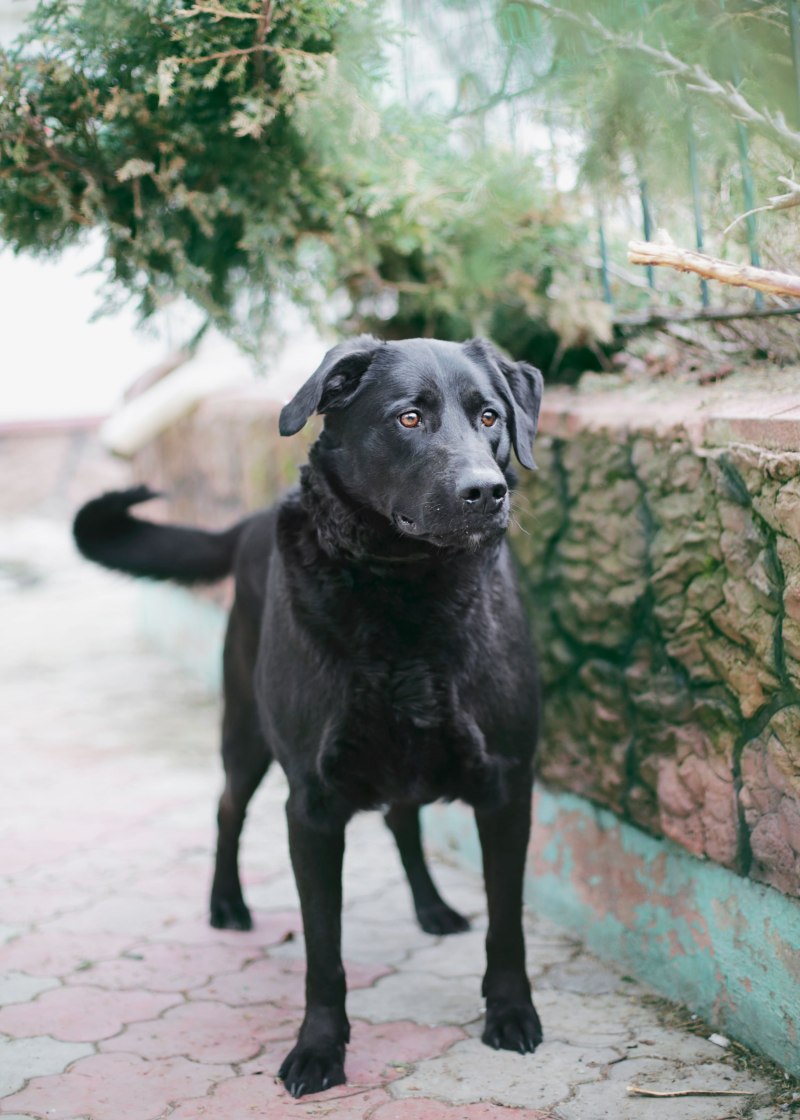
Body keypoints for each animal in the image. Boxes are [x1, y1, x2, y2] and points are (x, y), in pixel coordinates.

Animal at [73, 336, 542, 1097]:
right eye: (409, 418)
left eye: (490, 416)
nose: (485, 492)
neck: (408, 593)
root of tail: (247, 522)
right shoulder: (313, 805)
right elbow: (324, 951)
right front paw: (319, 1049)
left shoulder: (508, 783)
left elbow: (508, 923)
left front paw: (510, 1012)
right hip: (245, 733)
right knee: (227, 808)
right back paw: (227, 904)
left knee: (402, 818)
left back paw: (432, 907)